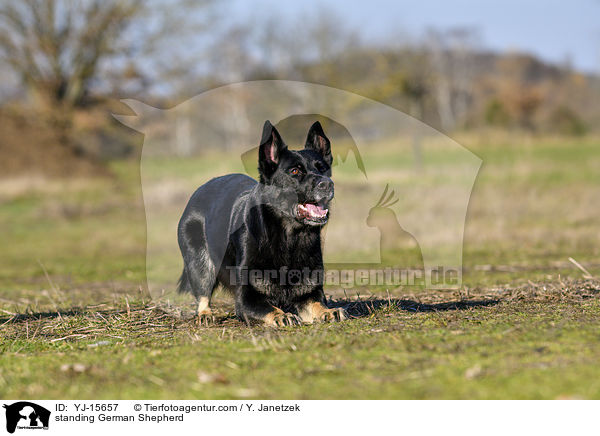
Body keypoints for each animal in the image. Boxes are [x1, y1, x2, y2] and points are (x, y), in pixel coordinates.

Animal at [177, 121, 346, 326]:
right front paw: (282, 315)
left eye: (322, 168)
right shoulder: (246, 299)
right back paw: (205, 314)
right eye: (295, 171)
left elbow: (317, 305)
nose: (327, 184)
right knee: (202, 293)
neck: (289, 237)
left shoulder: (309, 294)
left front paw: (328, 311)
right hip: (201, 264)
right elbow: (269, 308)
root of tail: (200, 190)